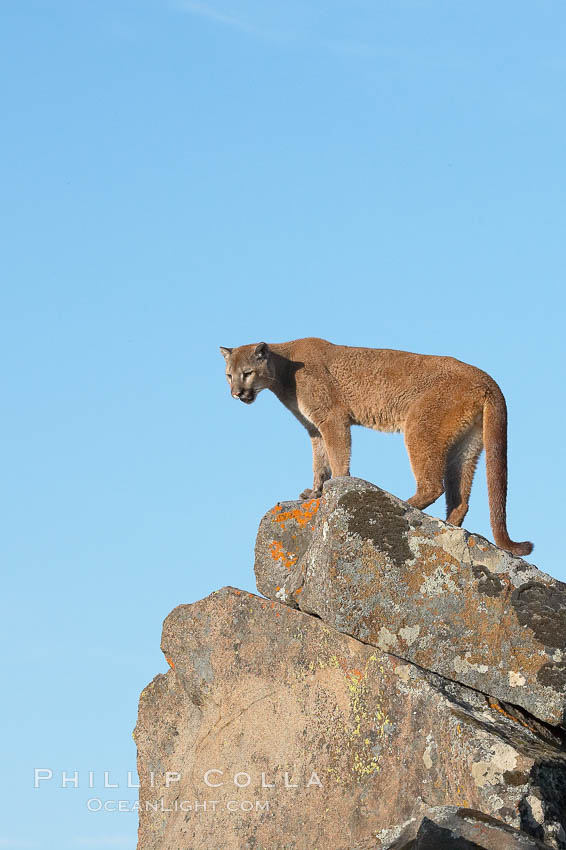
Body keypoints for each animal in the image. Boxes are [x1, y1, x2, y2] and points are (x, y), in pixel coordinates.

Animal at [220, 338, 536, 556]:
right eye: (228, 375)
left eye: (247, 373)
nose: (235, 393)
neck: (283, 367)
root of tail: (487, 379)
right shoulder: (314, 428)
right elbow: (319, 462)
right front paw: (315, 492)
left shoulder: (332, 418)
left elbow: (337, 457)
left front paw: (335, 486)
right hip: (467, 445)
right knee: (460, 497)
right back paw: (449, 524)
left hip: (420, 426)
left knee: (434, 485)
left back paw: (405, 506)